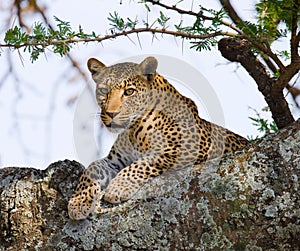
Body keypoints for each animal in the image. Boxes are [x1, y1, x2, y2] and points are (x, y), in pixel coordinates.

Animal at [68, 56, 248, 220]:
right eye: (104, 91)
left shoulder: (185, 148)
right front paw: (78, 202)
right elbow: (92, 168)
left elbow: (141, 164)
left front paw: (118, 187)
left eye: (129, 92)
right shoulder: (116, 161)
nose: (111, 113)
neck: (133, 131)